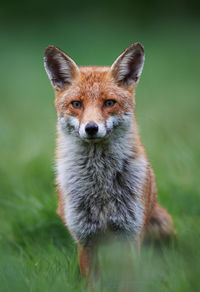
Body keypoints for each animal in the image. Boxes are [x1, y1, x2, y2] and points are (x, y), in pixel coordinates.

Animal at [43, 42, 175, 280]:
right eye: (76, 104)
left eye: (109, 103)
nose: (91, 128)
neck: (100, 187)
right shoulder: (85, 237)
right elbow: (92, 282)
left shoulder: (130, 234)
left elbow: (128, 281)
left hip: (162, 225)